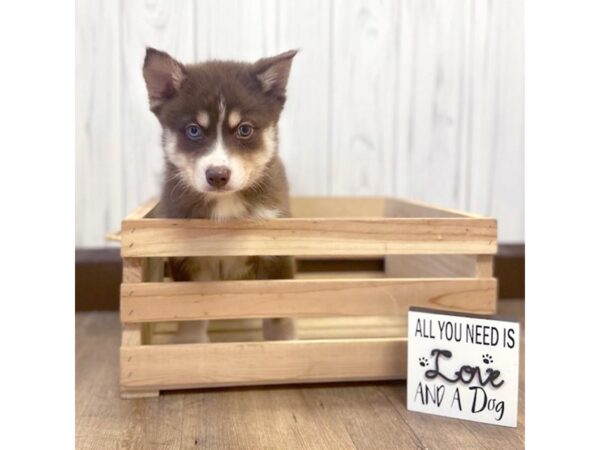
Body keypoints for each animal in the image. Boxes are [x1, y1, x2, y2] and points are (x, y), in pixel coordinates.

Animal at [143, 48, 298, 342]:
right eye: (193, 130)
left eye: (245, 129)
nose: (217, 175)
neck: (226, 206)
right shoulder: (186, 260)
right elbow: (189, 312)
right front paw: (190, 342)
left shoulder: (276, 254)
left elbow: (278, 312)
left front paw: (283, 343)